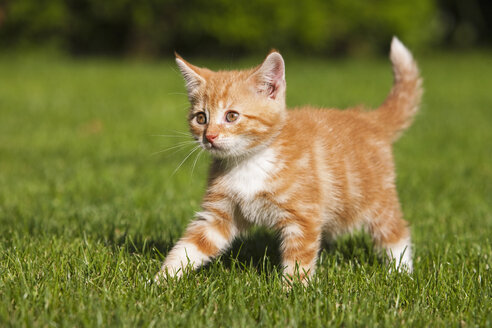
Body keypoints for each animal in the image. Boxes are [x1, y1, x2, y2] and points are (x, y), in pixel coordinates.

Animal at [157, 37, 422, 284]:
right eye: (201, 118)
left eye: (231, 116)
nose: (209, 137)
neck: (249, 161)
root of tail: (369, 118)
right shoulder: (219, 215)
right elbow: (192, 246)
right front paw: (160, 280)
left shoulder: (303, 216)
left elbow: (299, 258)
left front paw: (291, 292)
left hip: (375, 198)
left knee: (396, 231)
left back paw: (401, 272)